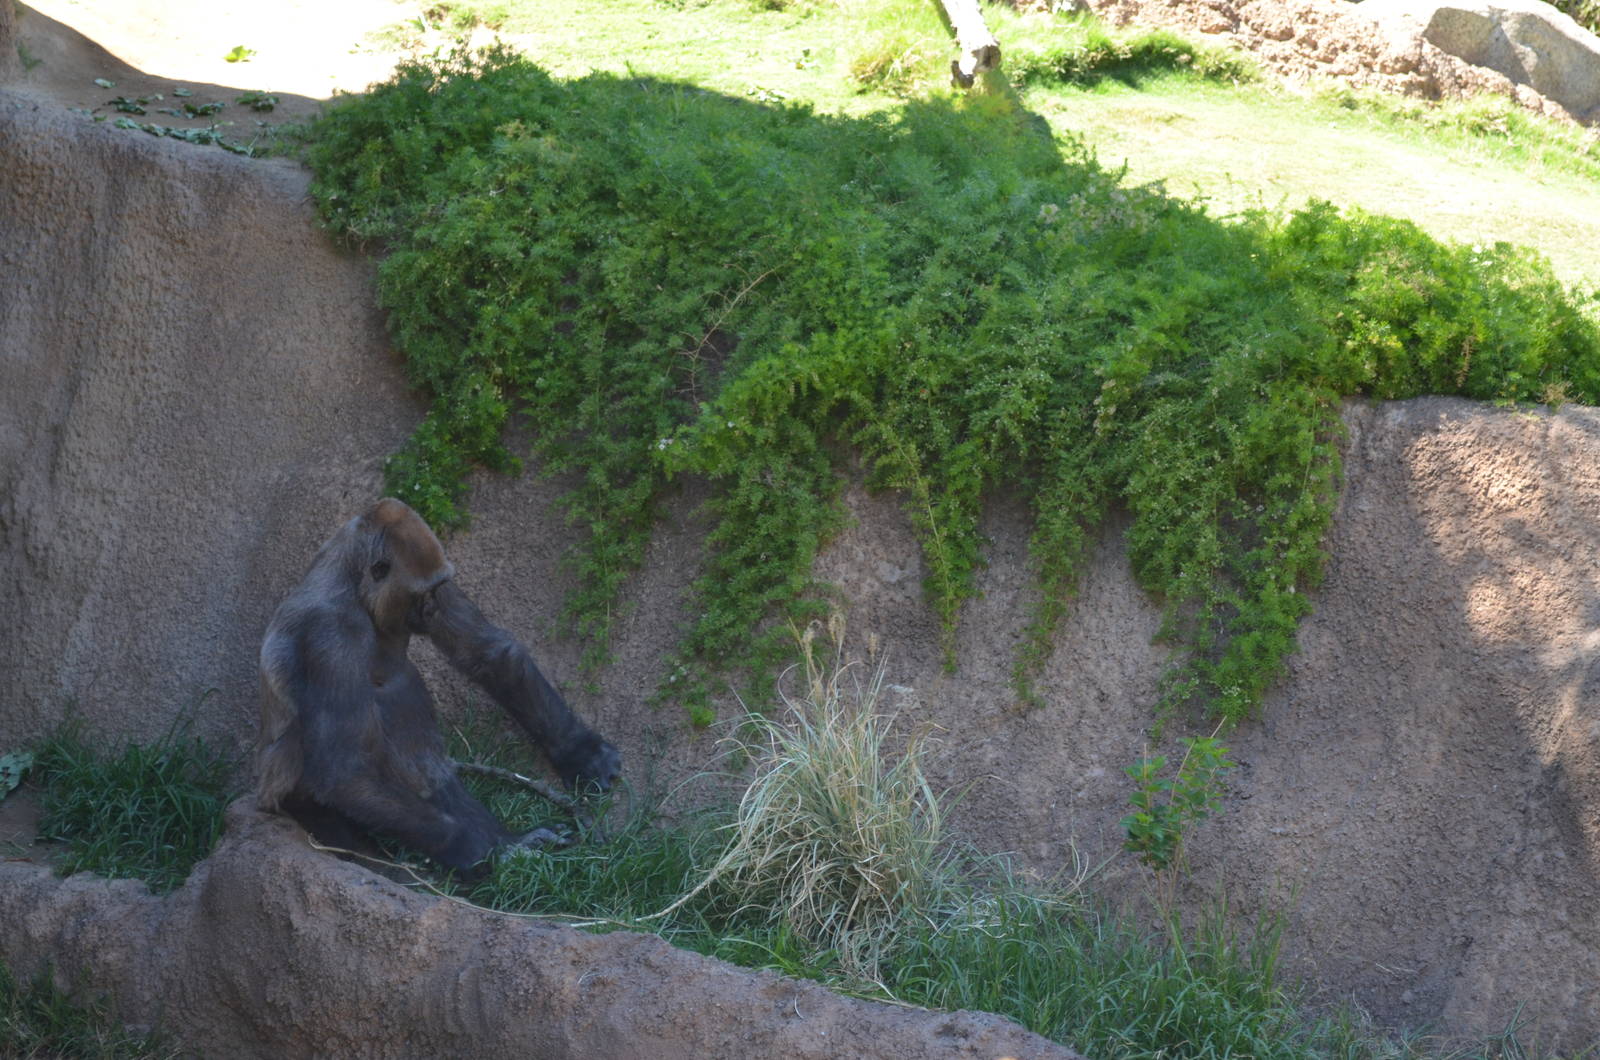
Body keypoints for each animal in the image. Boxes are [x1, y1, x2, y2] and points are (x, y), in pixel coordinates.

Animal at [255, 498, 621, 874]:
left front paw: (580, 752)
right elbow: (344, 770)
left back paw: (510, 839)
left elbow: (487, 651)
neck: (352, 577)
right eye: (420, 594)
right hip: (291, 801)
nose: (431, 606)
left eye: (436, 589)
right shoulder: (330, 632)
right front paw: (480, 850)